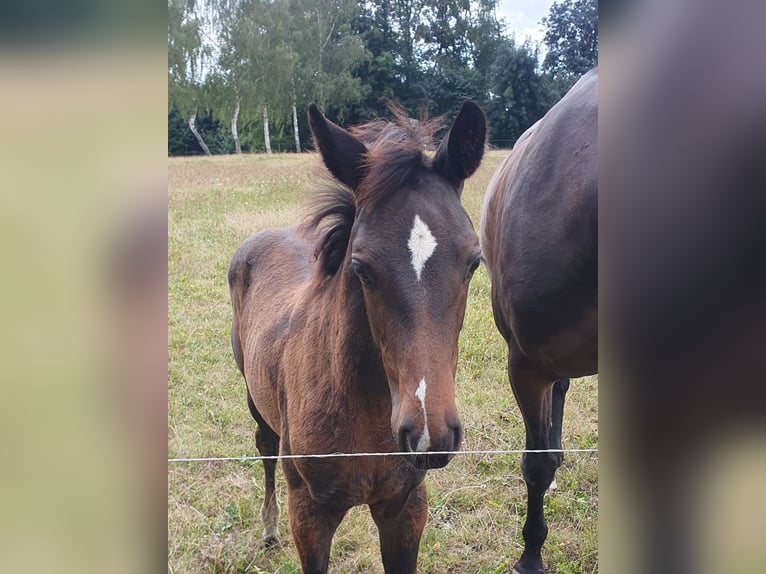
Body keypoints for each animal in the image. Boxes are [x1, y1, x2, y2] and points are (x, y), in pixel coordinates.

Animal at [228, 101, 488, 572]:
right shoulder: (309, 515)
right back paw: (268, 530)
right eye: (361, 267)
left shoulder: (406, 506)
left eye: (474, 261)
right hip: (255, 398)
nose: (428, 436)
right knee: (265, 448)